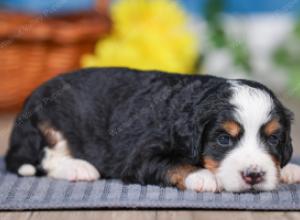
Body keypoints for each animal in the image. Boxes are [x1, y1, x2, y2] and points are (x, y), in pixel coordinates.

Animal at [4, 68, 300, 192]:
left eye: (274, 138)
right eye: (224, 139)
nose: (254, 175)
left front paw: (288, 170)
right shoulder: (142, 157)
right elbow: (175, 164)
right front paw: (204, 176)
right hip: (45, 122)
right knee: (45, 158)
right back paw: (80, 168)